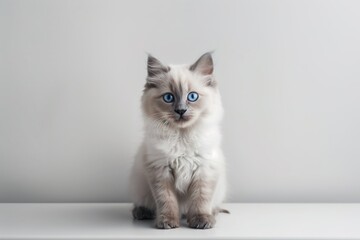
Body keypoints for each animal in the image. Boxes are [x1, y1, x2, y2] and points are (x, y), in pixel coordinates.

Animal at [129, 52, 225, 229]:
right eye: (168, 97)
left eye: (192, 96)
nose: (181, 110)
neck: (182, 136)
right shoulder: (160, 171)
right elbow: (167, 201)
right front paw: (167, 222)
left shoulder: (204, 170)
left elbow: (200, 201)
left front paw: (201, 221)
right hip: (140, 188)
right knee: (143, 204)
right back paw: (142, 213)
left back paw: (211, 214)